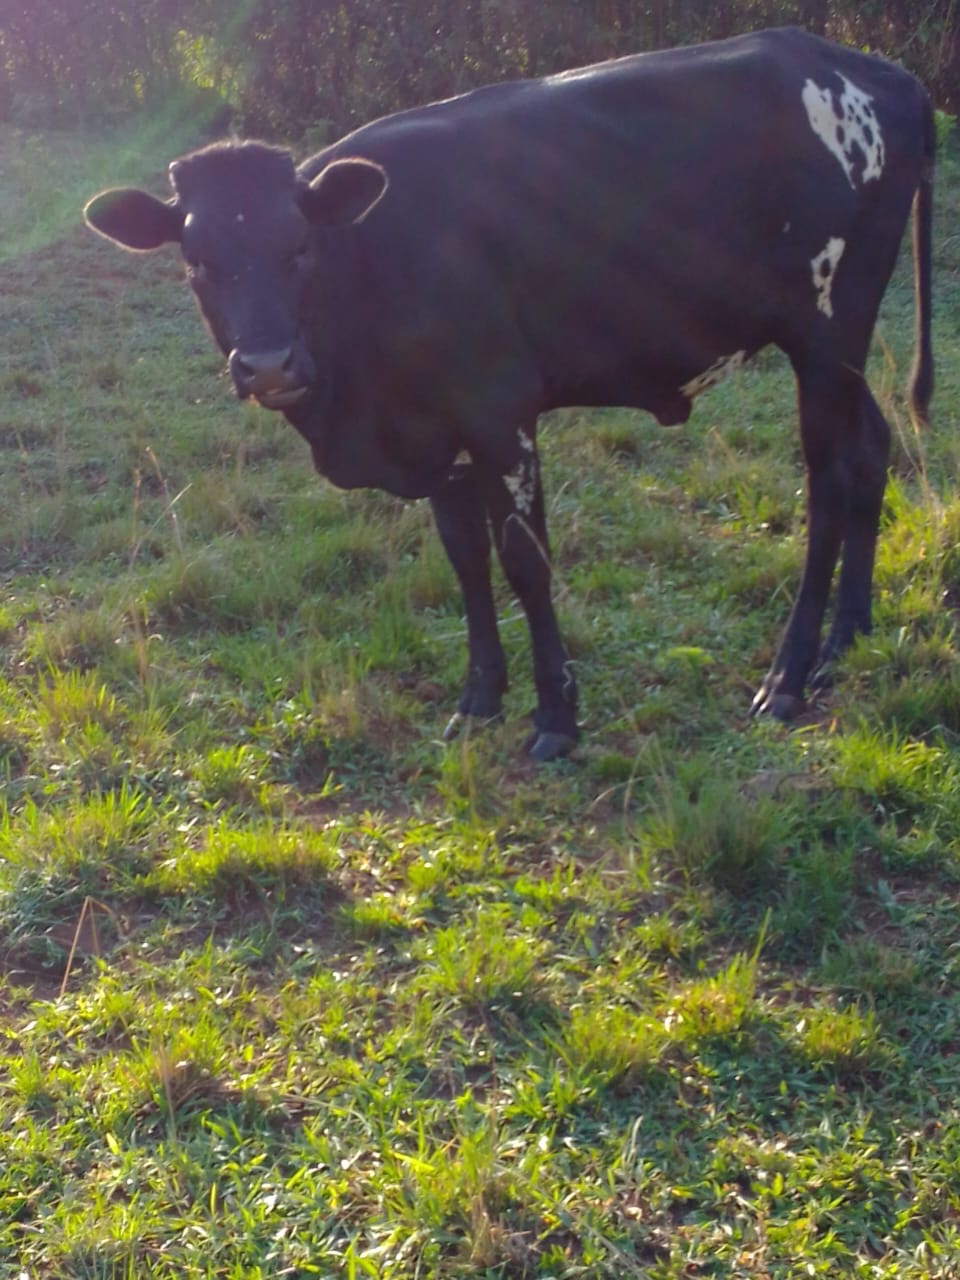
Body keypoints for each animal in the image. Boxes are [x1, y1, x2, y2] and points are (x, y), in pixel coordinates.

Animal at [84, 27, 934, 761]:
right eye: (196, 261)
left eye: (299, 247)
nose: (267, 366)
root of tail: (873, 70)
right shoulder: (437, 436)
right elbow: (465, 560)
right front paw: (479, 699)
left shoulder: (499, 412)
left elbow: (526, 562)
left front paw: (556, 715)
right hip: (837, 349)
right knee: (871, 450)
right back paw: (846, 636)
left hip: (827, 332)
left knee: (828, 483)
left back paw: (788, 676)